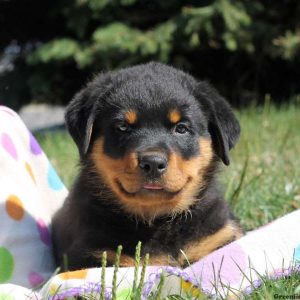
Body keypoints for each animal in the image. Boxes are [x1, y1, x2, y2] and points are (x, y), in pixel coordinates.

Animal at [52, 62, 241, 270]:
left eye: (181, 128)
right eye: (123, 127)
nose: (153, 162)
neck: (156, 220)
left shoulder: (219, 236)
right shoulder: (93, 253)